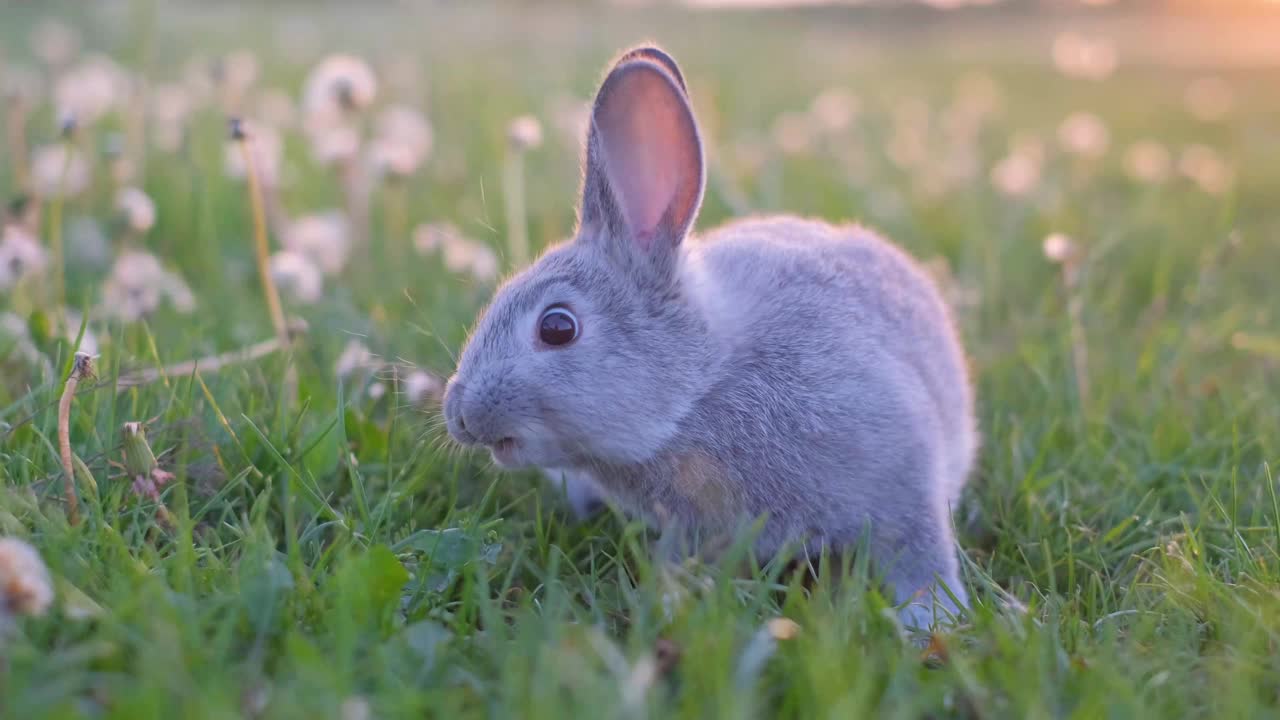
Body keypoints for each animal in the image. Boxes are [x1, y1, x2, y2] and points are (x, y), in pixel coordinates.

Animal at [442, 46, 977, 627]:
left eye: (557, 327)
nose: (460, 414)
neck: (702, 387)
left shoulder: (903, 467)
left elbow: (920, 547)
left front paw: (931, 617)